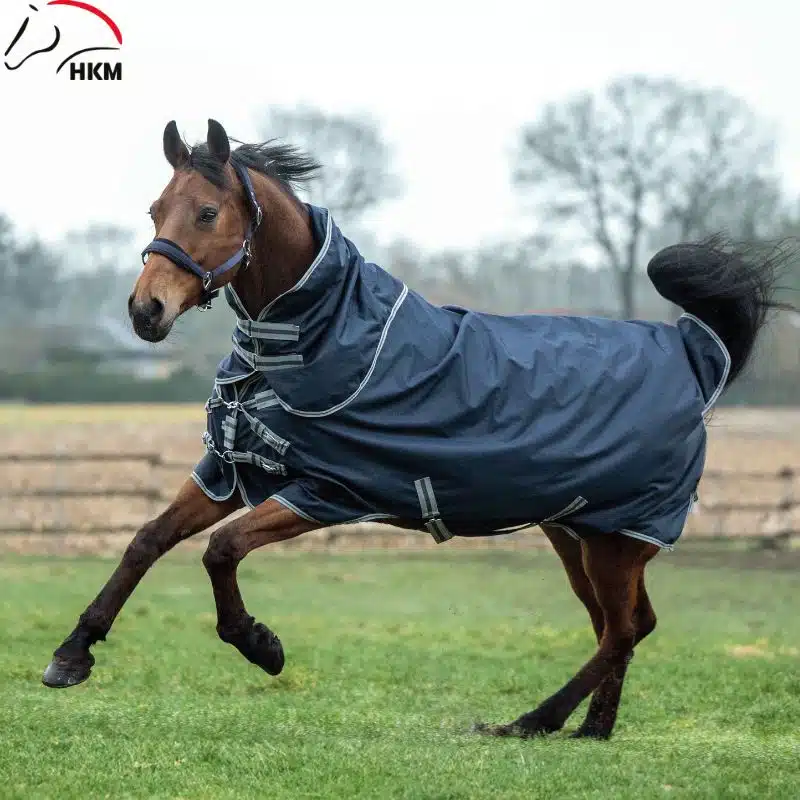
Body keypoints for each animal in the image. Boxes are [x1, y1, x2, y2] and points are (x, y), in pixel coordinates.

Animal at [41, 118, 789, 741]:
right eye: (154, 209)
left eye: (206, 211)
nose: (146, 311)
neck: (318, 338)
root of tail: (693, 356)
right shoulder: (236, 467)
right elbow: (146, 540)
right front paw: (71, 655)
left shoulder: (327, 491)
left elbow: (220, 551)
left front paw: (261, 644)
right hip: (580, 533)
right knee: (628, 625)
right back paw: (590, 730)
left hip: (617, 540)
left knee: (621, 631)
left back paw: (530, 722)